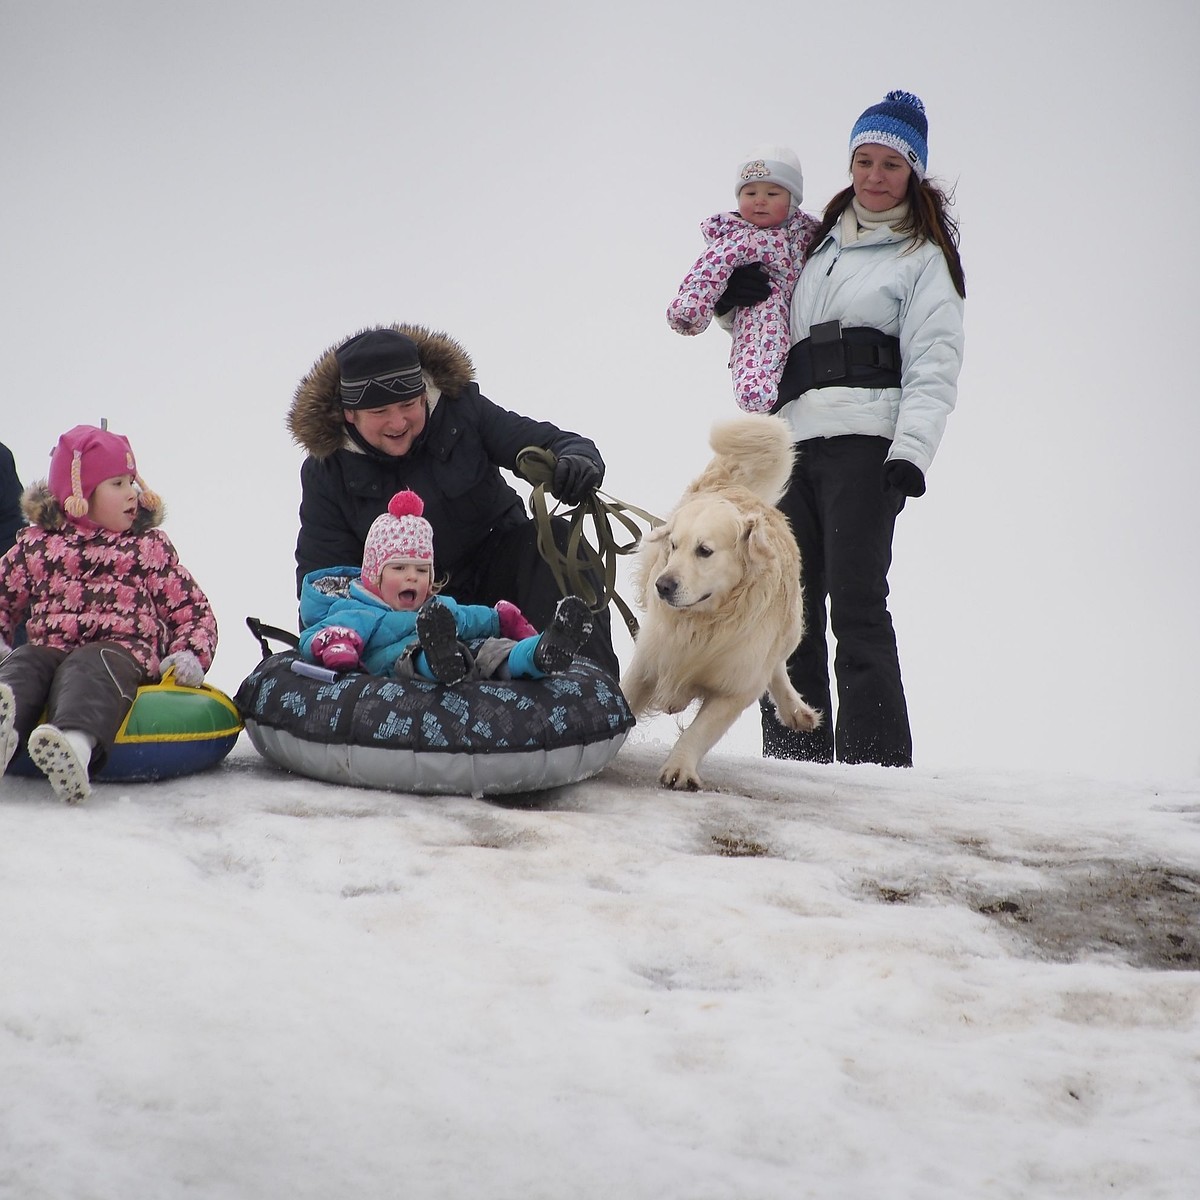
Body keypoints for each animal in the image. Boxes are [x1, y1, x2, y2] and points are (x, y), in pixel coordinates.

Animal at [624, 417, 820, 792]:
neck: (702, 623)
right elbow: (624, 697)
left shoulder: (736, 684)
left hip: (787, 631)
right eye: (673, 545)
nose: (663, 586)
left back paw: (796, 710)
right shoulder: (649, 659)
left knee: (776, 665)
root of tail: (734, 488)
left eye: (705, 550)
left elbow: (700, 731)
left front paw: (679, 768)